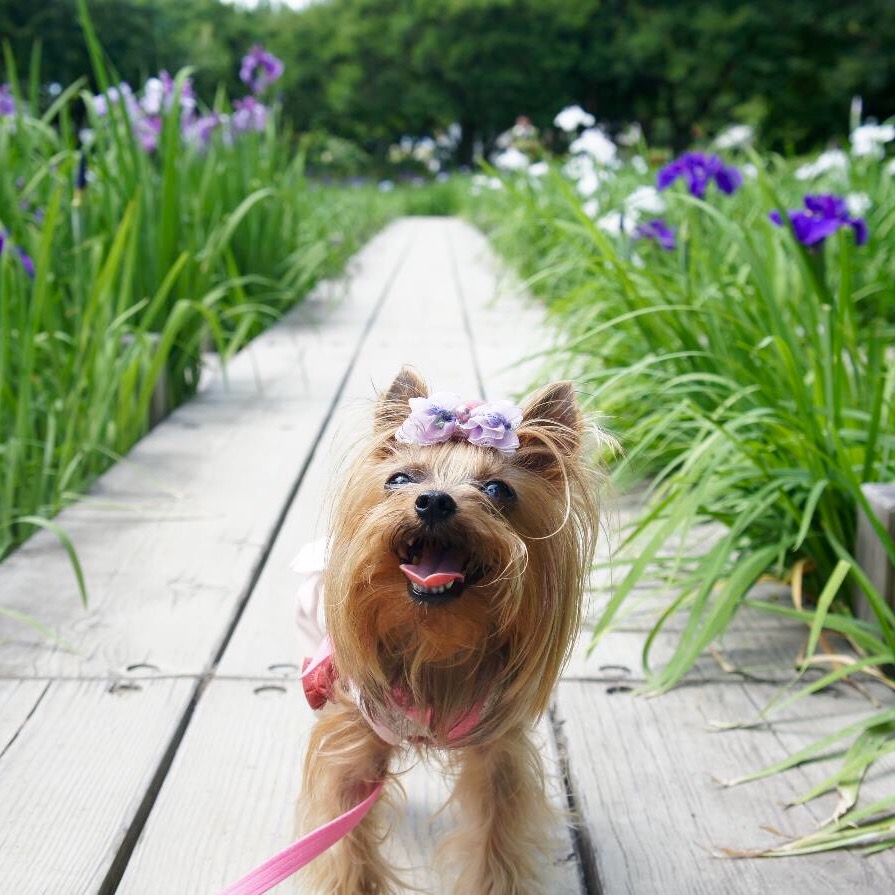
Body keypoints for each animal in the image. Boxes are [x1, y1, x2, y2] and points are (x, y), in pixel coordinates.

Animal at [298, 368, 600, 892]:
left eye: (499, 490)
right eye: (399, 479)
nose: (434, 501)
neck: (432, 640)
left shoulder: (495, 751)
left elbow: (497, 839)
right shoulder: (352, 740)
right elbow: (346, 840)